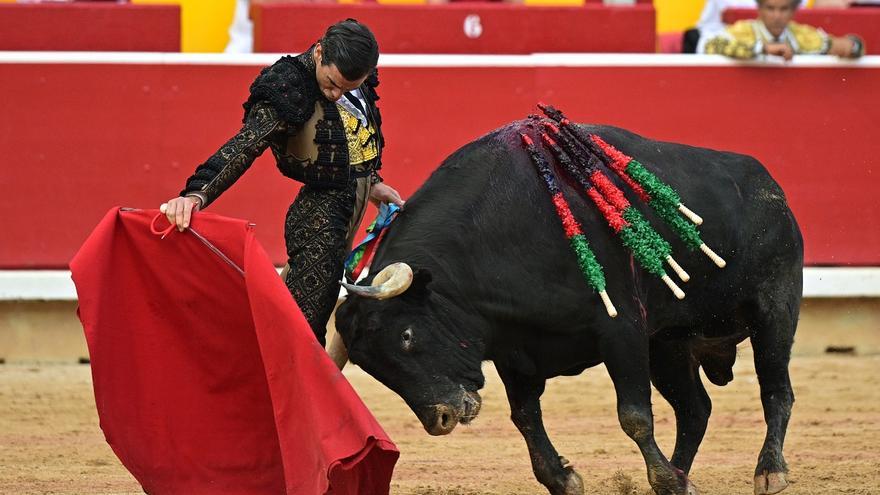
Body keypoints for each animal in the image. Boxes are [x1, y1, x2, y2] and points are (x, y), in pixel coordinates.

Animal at [334, 117, 800, 495]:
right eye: (372, 368)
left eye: (406, 336)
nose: (441, 418)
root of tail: (771, 187)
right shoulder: (514, 347)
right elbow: (525, 417)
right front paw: (563, 478)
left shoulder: (622, 329)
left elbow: (634, 415)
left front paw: (663, 478)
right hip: (668, 343)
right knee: (695, 409)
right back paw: (681, 476)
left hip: (774, 310)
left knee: (776, 390)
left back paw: (768, 472)